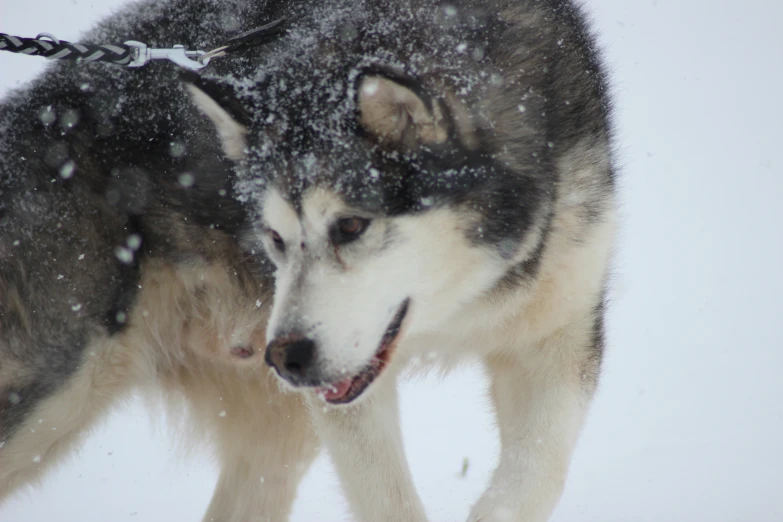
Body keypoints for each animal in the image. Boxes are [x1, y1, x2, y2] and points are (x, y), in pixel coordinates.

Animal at [185, 0, 620, 516]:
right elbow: (386, 498)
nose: (286, 358)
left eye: (350, 226)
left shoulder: (557, 330)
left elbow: (536, 475)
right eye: (275, 237)